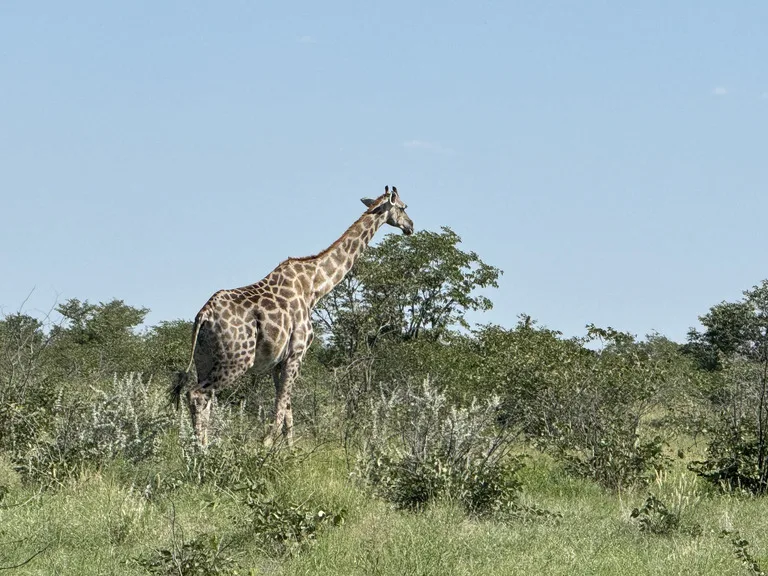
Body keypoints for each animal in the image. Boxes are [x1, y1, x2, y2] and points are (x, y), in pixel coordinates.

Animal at [173, 184, 414, 446]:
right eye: (403, 207)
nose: (410, 226)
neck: (313, 286)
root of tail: (203, 315)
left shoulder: (278, 362)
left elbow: (286, 410)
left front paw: (287, 450)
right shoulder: (296, 353)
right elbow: (281, 407)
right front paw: (266, 445)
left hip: (204, 359)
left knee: (203, 400)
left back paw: (199, 447)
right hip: (236, 359)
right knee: (197, 394)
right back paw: (201, 450)